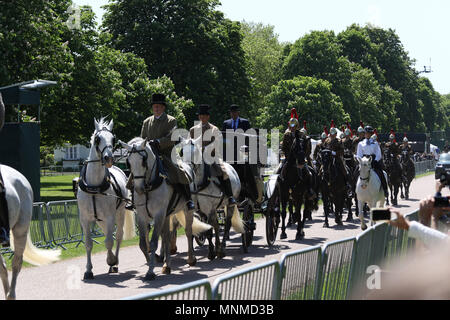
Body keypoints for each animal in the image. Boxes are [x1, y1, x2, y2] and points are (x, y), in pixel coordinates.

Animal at [76, 118, 135, 280]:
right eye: (97, 139)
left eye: (113, 139)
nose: (109, 158)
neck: (94, 186)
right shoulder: (85, 219)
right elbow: (88, 243)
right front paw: (88, 270)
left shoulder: (110, 217)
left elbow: (109, 241)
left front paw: (111, 260)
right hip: (100, 220)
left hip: (119, 214)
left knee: (118, 236)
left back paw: (115, 263)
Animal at [118, 138, 212, 280]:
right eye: (129, 162)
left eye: (144, 161)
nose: (138, 189)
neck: (150, 185)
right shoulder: (142, 215)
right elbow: (143, 244)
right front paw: (153, 261)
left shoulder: (159, 214)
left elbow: (153, 242)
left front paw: (150, 271)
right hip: (167, 215)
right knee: (167, 235)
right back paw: (167, 265)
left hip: (187, 211)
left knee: (188, 231)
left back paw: (190, 259)